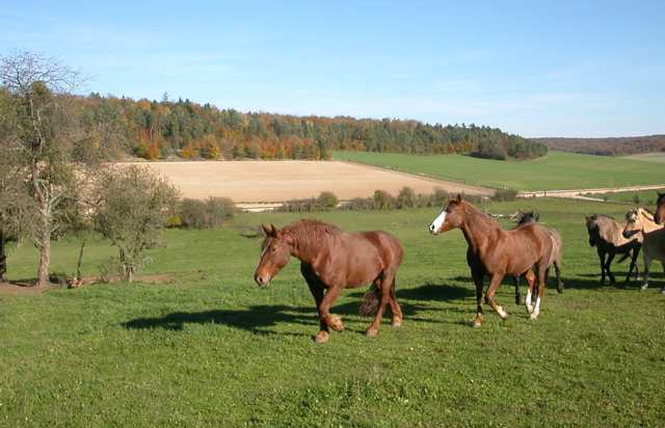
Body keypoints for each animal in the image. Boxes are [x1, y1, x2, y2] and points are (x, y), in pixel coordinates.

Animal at [252, 219, 402, 342]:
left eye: (273, 249)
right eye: (262, 248)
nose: (259, 278)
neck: (321, 252)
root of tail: (393, 240)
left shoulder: (336, 286)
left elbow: (324, 308)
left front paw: (337, 324)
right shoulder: (315, 287)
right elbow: (320, 309)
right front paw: (323, 334)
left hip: (387, 275)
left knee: (384, 298)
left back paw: (373, 329)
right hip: (378, 278)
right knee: (390, 295)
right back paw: (397, 319)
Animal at [428, 196, 552, 326]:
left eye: (449, 210)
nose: (432, 227)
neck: (487, 243)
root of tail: (543, 231)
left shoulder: (498, 274)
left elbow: (488, 296)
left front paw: (504, 314)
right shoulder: (476, 274)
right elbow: (479, 296)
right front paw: (477, 321)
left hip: (541, 264)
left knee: (540, 285)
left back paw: (534, 314)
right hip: (525, 266)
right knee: (532, 279)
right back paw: (529, 308)